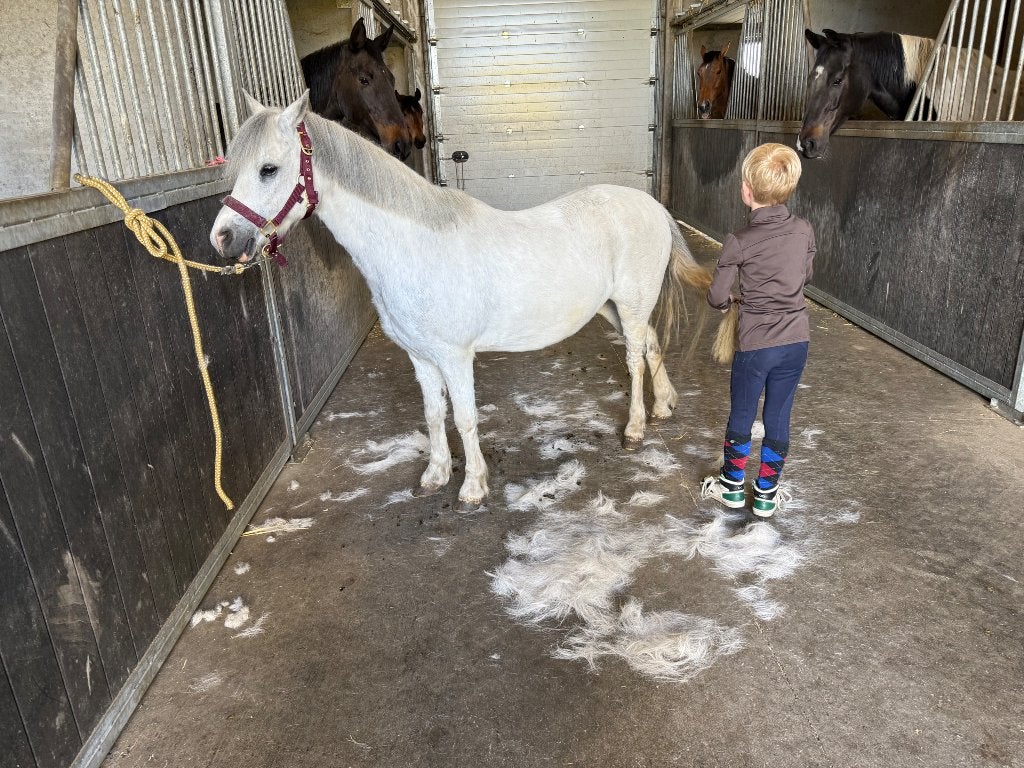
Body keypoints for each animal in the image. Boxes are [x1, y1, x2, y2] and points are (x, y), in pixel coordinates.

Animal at [210, 92, 712, 510]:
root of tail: (652, 206)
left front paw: (473, 488)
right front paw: (435, 475)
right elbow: (434, 415)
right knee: (650, 345)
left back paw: (635, 429)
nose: (223, 238)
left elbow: (466, 418)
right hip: (614, 308)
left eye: (269, 169)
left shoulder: (455, 357)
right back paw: (665, 406)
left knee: (633, 359)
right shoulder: (420, 356)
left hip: (631, 303)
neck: (414, 248)